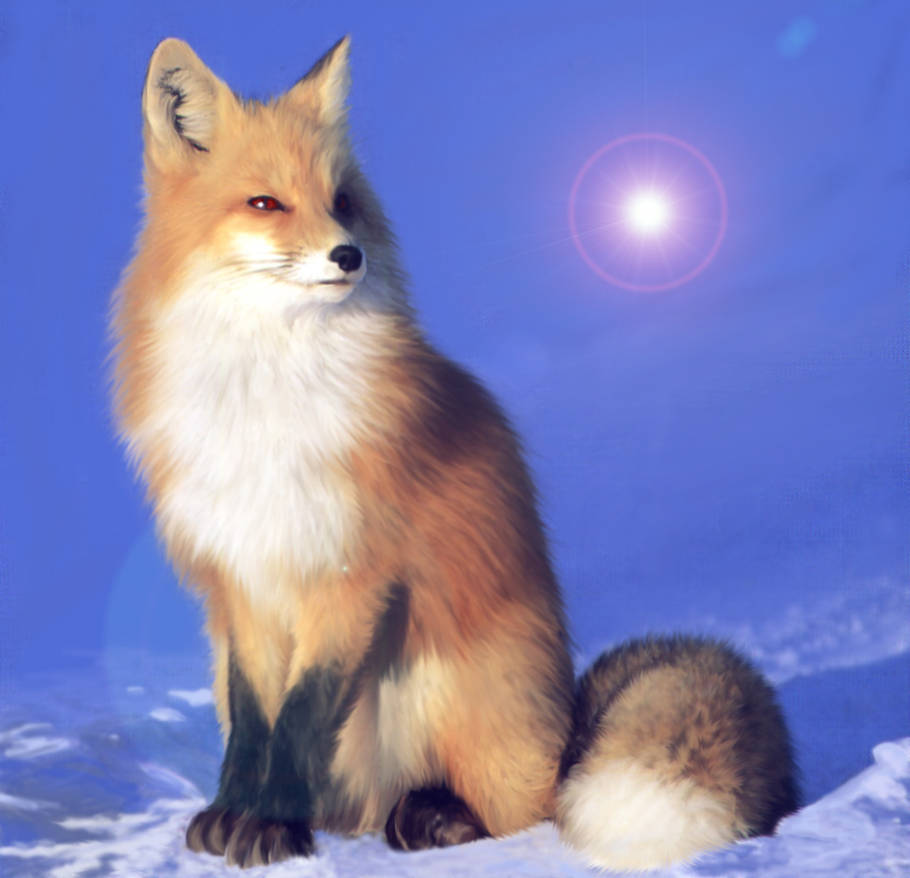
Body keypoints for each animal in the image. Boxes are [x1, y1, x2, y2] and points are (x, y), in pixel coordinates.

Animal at [109, 36, 798, 871]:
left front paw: (270, 827)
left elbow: (302, 717)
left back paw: (436, 815)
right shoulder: (240, 582)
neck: (268, 384)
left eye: (343, 201)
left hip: (440, 682)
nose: (348, 256)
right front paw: (234, 816)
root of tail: (568, 729)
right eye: (266, 203)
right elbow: (254, 723)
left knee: (520, 809)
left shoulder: (352, 574)